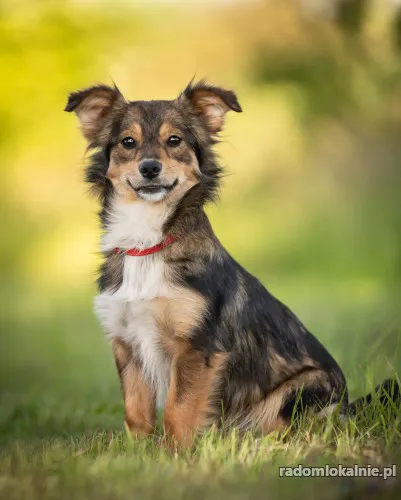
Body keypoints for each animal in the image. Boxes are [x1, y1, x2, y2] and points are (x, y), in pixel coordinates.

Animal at [65, 80, 396, 448]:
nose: (149, 168)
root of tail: (350, 408)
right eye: (128, 142)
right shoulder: (127, 342)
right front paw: (138, 452)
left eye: (174, 140)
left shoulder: (197, 346)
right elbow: (136, 413)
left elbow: (179, 410)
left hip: (303, 387)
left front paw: (175, 454)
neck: (147, 241)